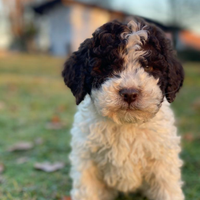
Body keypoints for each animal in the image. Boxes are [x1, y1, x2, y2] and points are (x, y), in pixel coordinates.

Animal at [62, 16, 184, 200]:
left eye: (148, 67)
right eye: (108, 68)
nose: (129, 93)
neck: (126, 124)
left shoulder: (162, 160)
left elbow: (167, 190)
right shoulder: (87, 159)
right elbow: (88, 191)